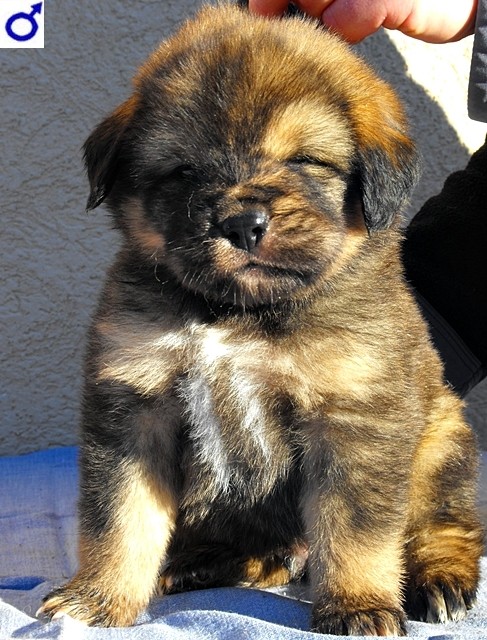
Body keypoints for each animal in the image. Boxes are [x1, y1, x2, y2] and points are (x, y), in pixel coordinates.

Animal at [39, 3, 483, 635]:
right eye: (183, 171)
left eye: (304, 160)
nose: (242, 224)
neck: (237, 315)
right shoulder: (134, 407)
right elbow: (120, 519)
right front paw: (98, 599)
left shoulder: (354, 419)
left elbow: (356, 532)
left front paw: (358, 604)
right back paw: (205, 563)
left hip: (439, 441)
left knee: (444, 524)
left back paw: (440, 578)